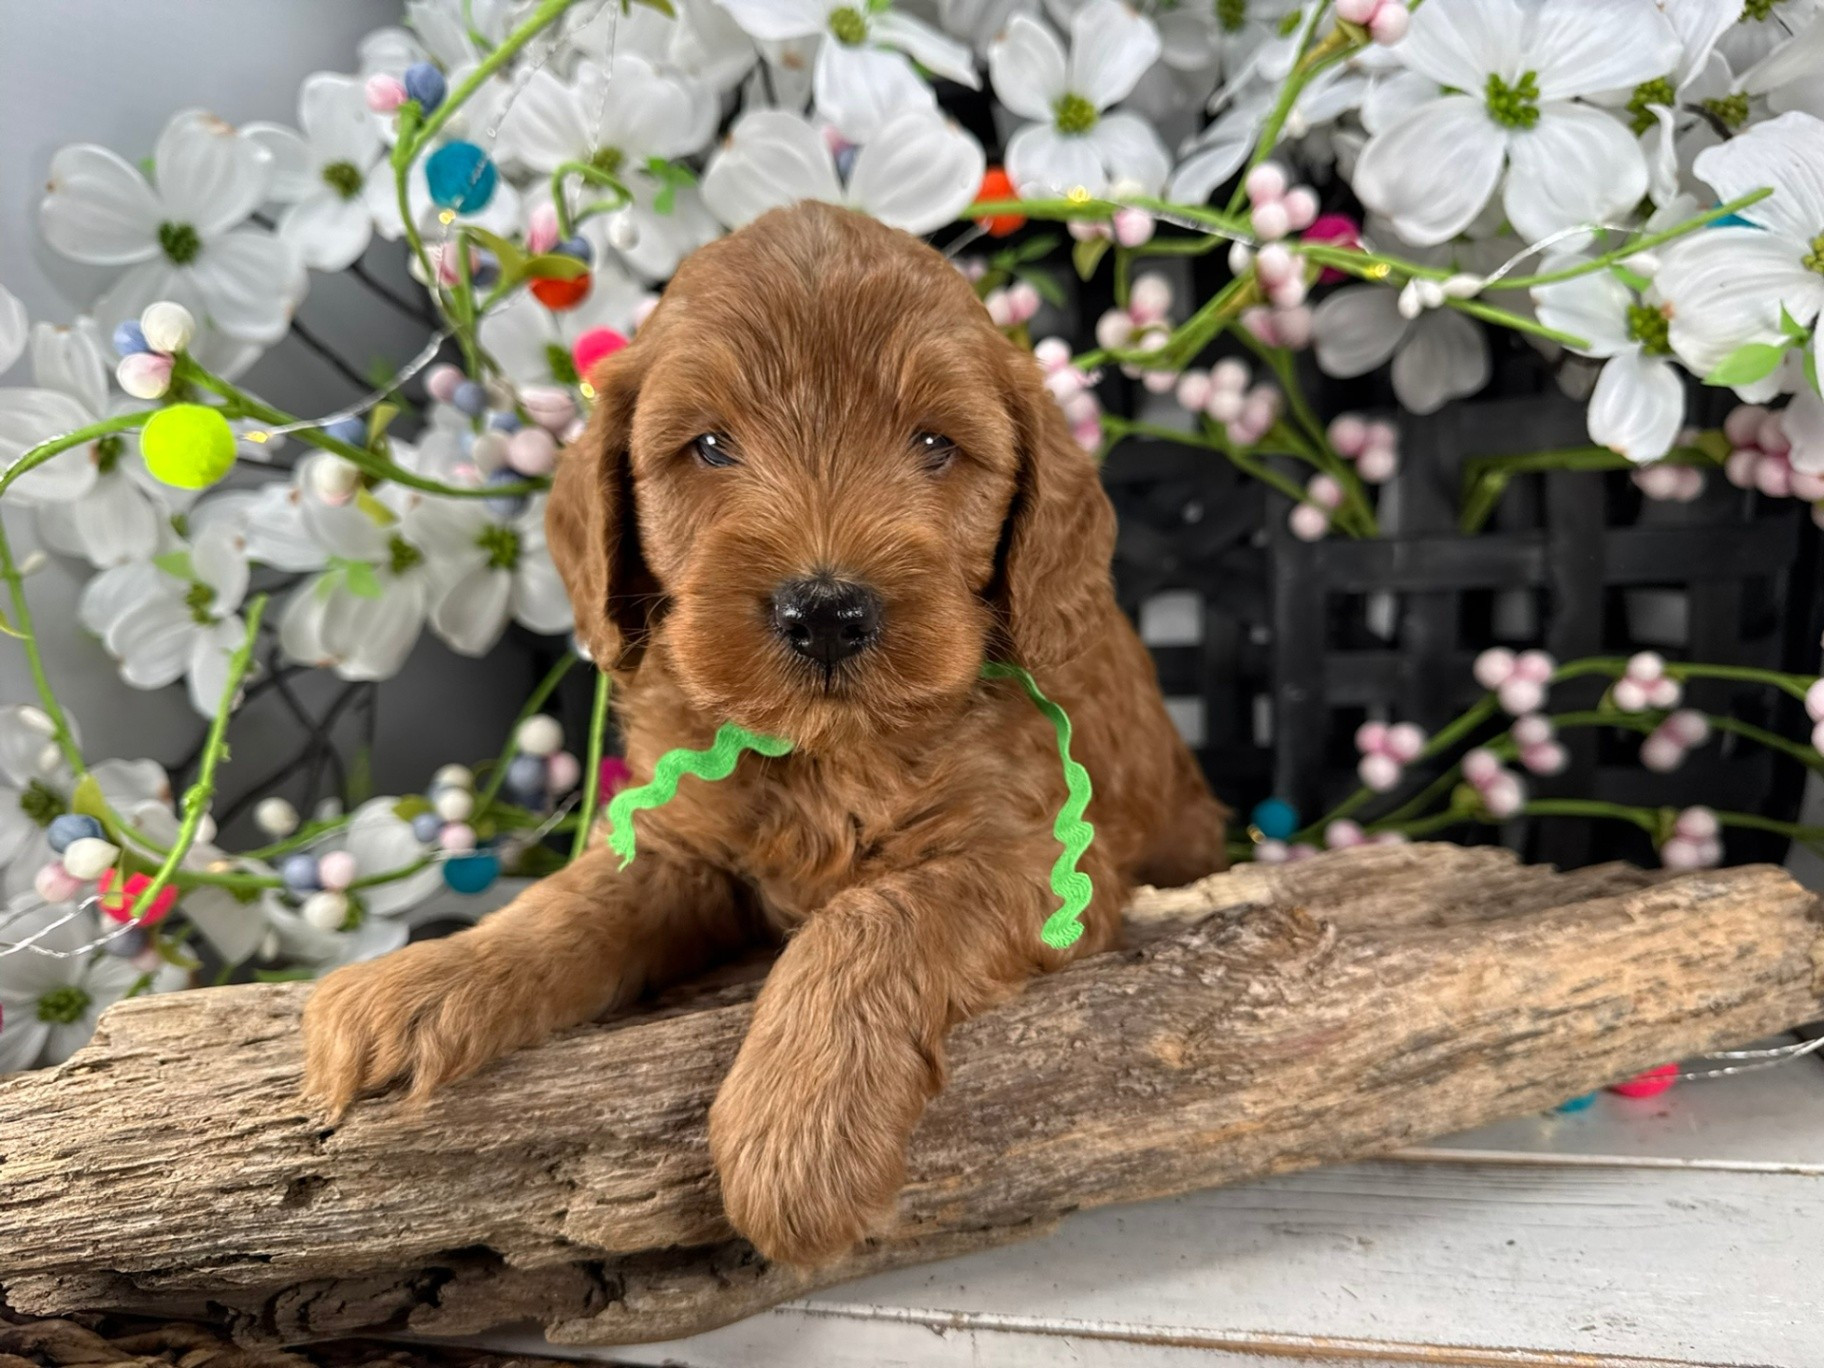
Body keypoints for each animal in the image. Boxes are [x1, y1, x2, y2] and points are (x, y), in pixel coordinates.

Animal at [302, 201, 1230, 1267]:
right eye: (710, 446)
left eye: (935, 443)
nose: (825, 612)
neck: (825, 752)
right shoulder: (681, 845)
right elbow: (569, 903)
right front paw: (427, 980)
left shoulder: (1045, 856)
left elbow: (872, 916)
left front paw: (795, 1136)